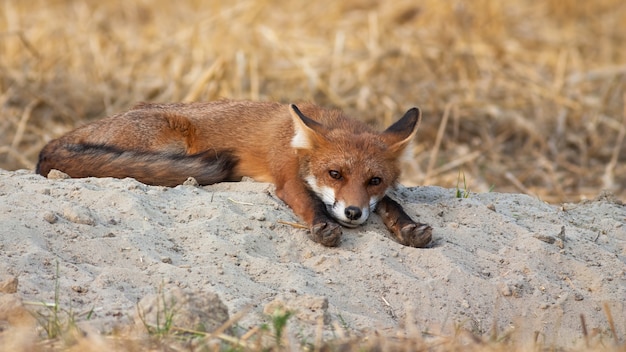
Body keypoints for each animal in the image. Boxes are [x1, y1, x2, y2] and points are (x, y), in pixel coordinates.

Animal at [37, 99, 428, 248]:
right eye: (334, 174)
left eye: (374, 181)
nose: (353, 213)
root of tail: (55, 140)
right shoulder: (286, 179)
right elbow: (310, 203)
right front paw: (322, 227)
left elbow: (391, 204)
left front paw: (408, 227)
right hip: (171, 142)